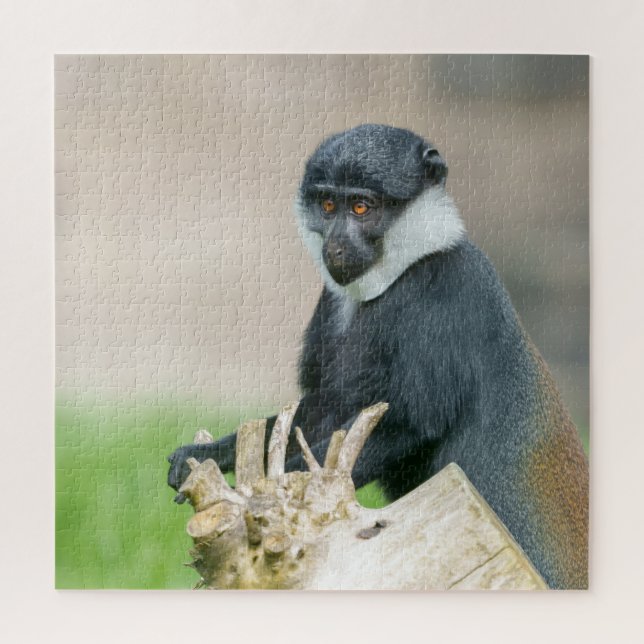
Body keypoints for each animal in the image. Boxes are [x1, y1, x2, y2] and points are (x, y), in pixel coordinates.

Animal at [168, 124, 589, 590]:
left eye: (362, 207)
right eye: (328, 204)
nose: (336, 244)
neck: (402, 270)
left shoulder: (446, 291)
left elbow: (409, 423)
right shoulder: (330, 305)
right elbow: (320, 415)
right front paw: (210, 455)